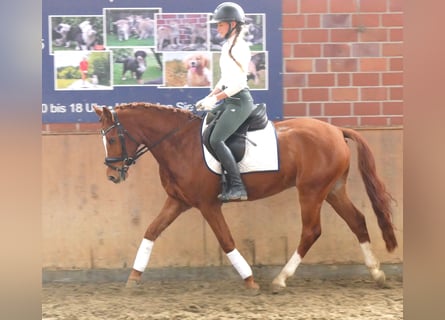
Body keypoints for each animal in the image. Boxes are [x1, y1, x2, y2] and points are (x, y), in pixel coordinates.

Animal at [93, 102, 396, 292]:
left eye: (113, 139)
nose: (112, 175)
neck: (179, 143)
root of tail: (336, 130)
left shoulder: (207, 205)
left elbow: (226, 240)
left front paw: (250, 281)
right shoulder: (178, 201)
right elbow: (151, 231)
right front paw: (133, 279)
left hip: (311, 191)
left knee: (311, 231)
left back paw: (281, 280)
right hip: (332, 189)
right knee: (357, 221)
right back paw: (377, 273)